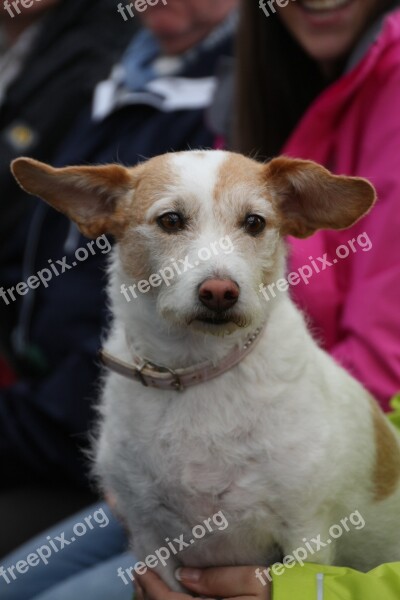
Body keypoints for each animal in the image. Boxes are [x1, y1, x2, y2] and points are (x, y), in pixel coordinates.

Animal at [10, 150, 400, 592]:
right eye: (170, 220)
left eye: (254, 222)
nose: (219, 291)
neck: (198, 371)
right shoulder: (150, 542)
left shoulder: (307, 537)